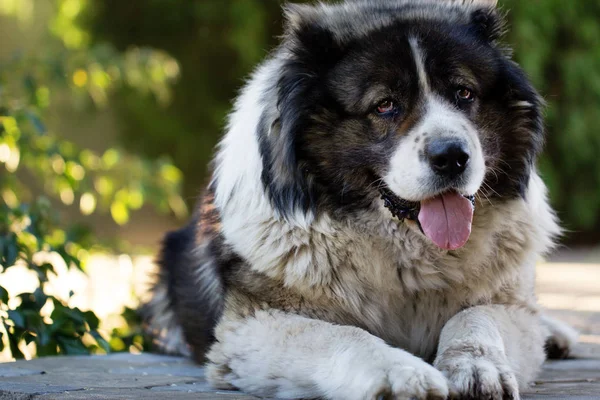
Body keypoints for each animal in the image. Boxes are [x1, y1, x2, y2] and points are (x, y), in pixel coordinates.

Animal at [143, 1, 580, 398]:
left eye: (464, 93)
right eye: (384, 105)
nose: (452, 156)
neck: (406, 252)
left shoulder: (509, 308)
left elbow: (476, 317)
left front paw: (476, 367)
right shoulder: (253, 326)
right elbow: (342, 337)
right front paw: (402, 374)